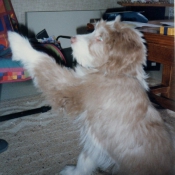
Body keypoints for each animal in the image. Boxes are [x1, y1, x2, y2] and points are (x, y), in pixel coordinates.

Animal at [7, 16, 174, 175]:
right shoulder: (96, 145)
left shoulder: (71, 87)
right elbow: (84, 160)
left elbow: (44, 62)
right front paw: (73, 172)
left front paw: (17, 41)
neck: (118, 73)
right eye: (93, 31)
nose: (72, 38)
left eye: (100, 38)